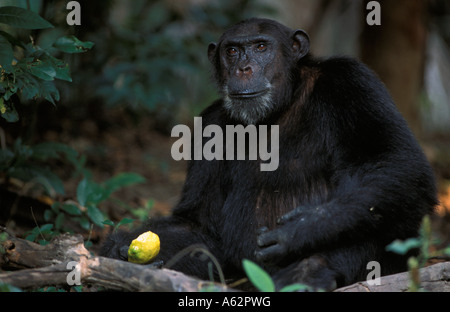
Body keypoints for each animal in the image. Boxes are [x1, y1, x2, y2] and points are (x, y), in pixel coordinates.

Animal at [101, 17, 436, 290]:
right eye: (232, 51)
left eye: (261, 47)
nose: (243, 68)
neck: (280, 106)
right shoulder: (209, 124)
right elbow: (200, 225)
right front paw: (120, 251)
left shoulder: (352, 82)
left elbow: (395, 160)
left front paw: (302, 228)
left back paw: (308, 273)